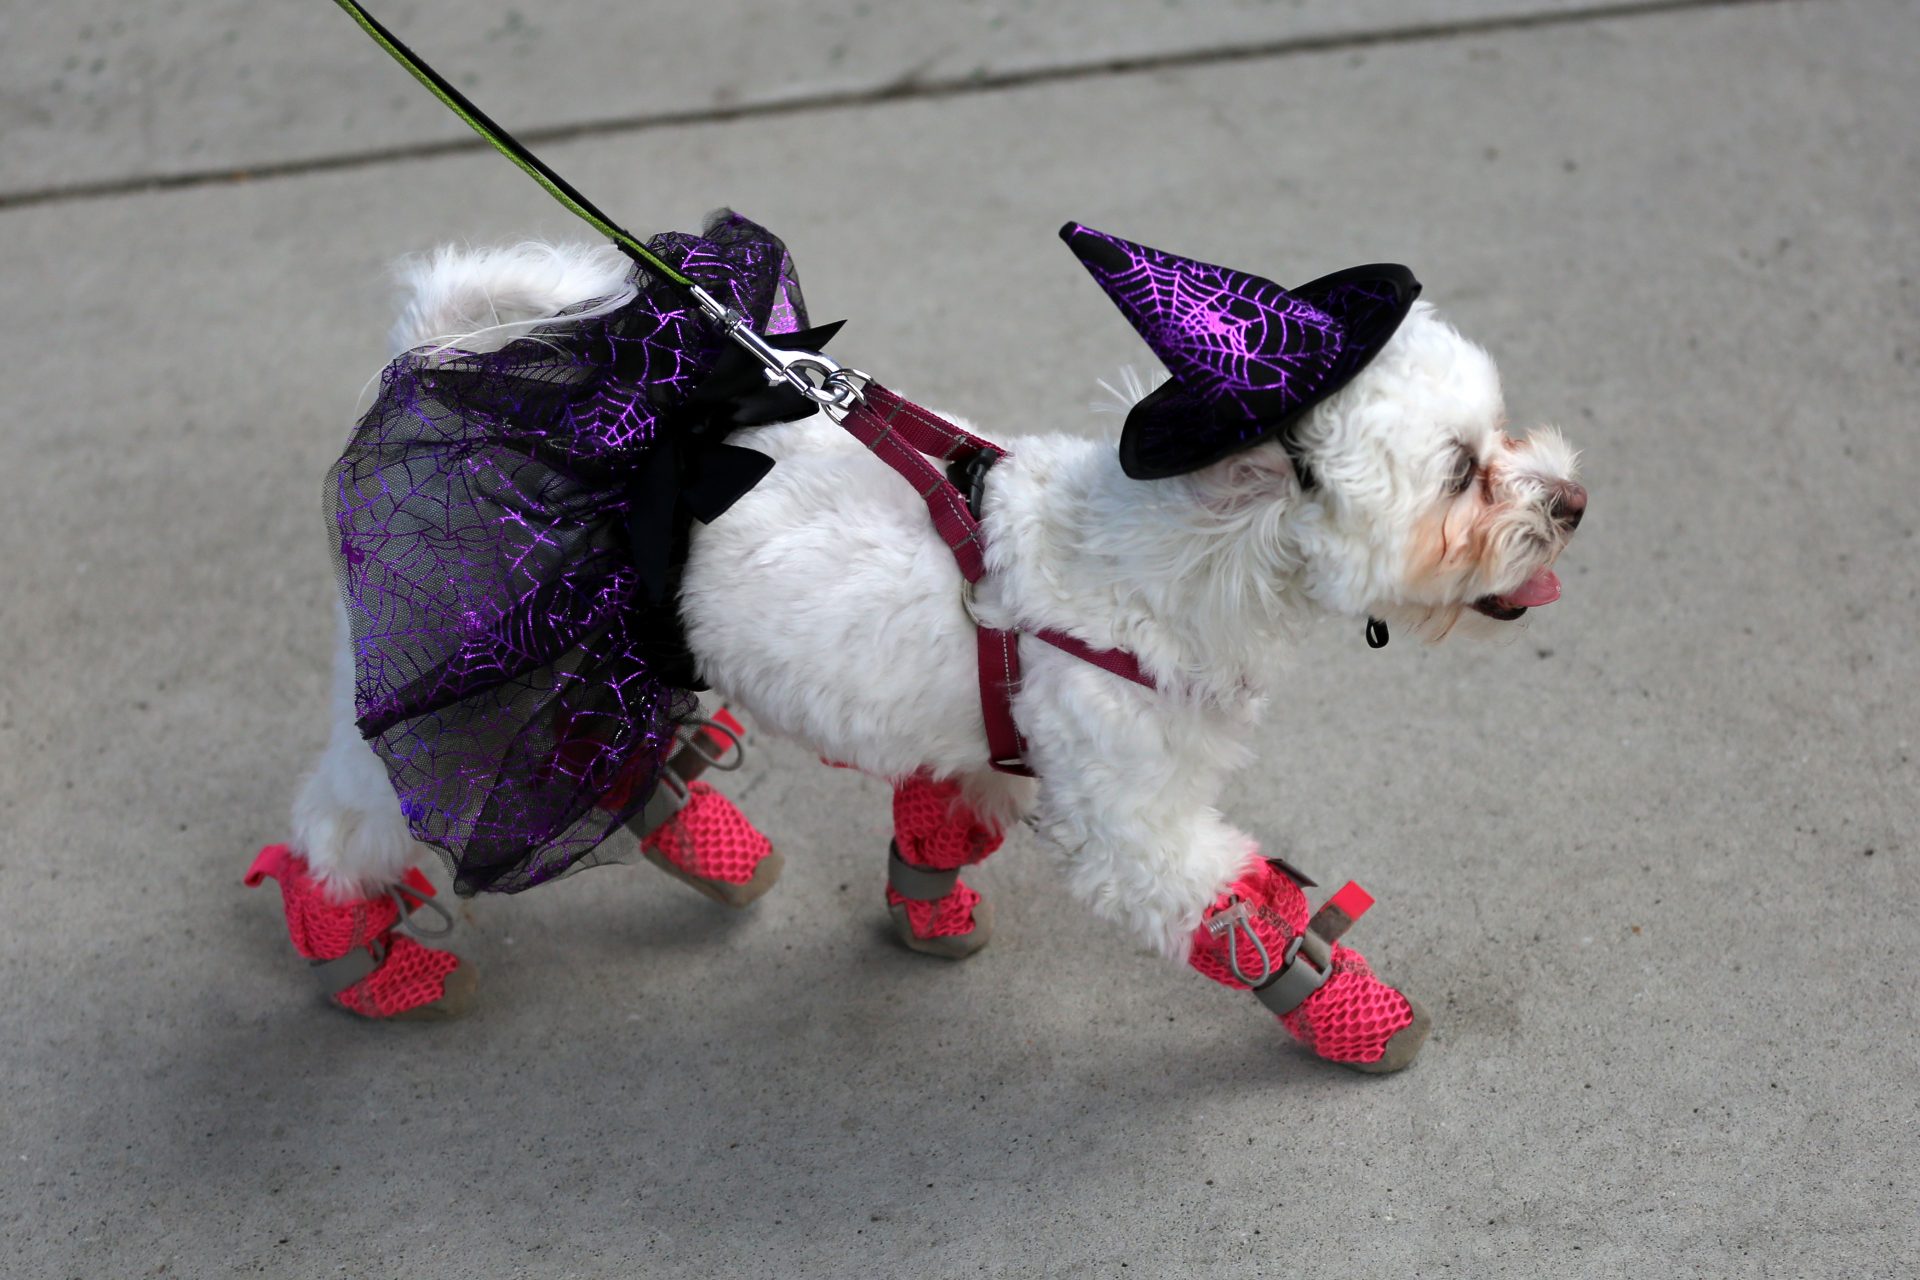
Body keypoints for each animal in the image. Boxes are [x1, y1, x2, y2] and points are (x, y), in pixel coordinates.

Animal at [247, 214, 1582, 1074]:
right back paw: (366, 961)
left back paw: (695, 830)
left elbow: (949, 812)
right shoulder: (1136, 823)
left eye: (1501, 431)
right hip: (444, 682)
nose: (1571, 501)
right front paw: (1352, 1006)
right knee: (353, 818)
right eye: (1460, 473)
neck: (1163, 567)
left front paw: (927, 901)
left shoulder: (993, 742)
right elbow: (1232, 906)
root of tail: (432, 351)